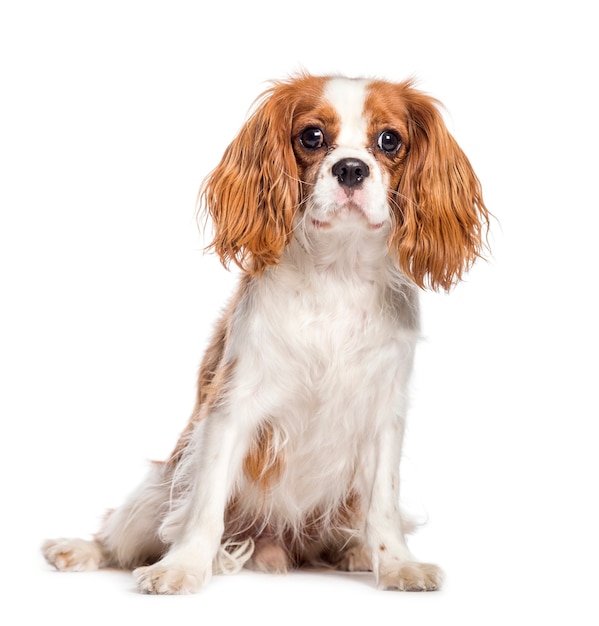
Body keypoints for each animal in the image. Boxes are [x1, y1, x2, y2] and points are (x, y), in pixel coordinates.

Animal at [44, 72, 490, 588]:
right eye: (312, 136)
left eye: (389, 140)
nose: (351, 169)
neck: (336, 272)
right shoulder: (231, 406)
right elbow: (206, 504)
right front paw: (183, 567)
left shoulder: (384, 415)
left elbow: (383, 503)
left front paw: (396, 563)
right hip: (156, 491)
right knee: (118, 536)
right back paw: (78, 549)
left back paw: (355, 551)